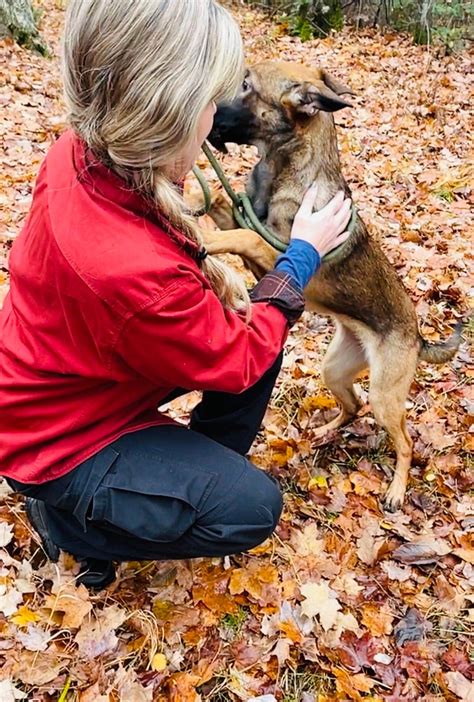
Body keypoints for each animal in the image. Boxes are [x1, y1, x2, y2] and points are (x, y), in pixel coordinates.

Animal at [199, 62, 460, 512]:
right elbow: (222, 203)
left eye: (247, 85)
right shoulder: (244, 222)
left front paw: (200, 237)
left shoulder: (278, 252)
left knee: (404, 441)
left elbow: (244, 237)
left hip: (385, 395)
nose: (206, 111)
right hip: (335, 369)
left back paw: (396, 489)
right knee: (352, 406)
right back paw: (324, 431)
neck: (285, 168)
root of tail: (418, 338)